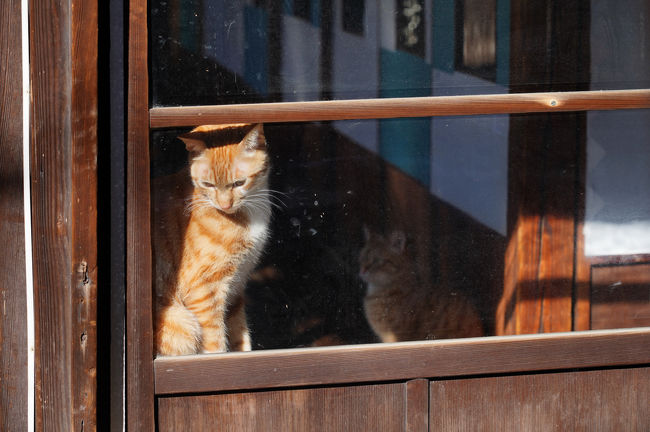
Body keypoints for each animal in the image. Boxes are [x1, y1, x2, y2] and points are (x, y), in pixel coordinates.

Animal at [153, 123, 270, 356]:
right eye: (208, 184)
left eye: (239, 183)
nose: (225, 205)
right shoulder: (204, 291)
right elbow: (216, 343)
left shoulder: (236, 288)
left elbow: (239, 335)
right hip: (183, 323)